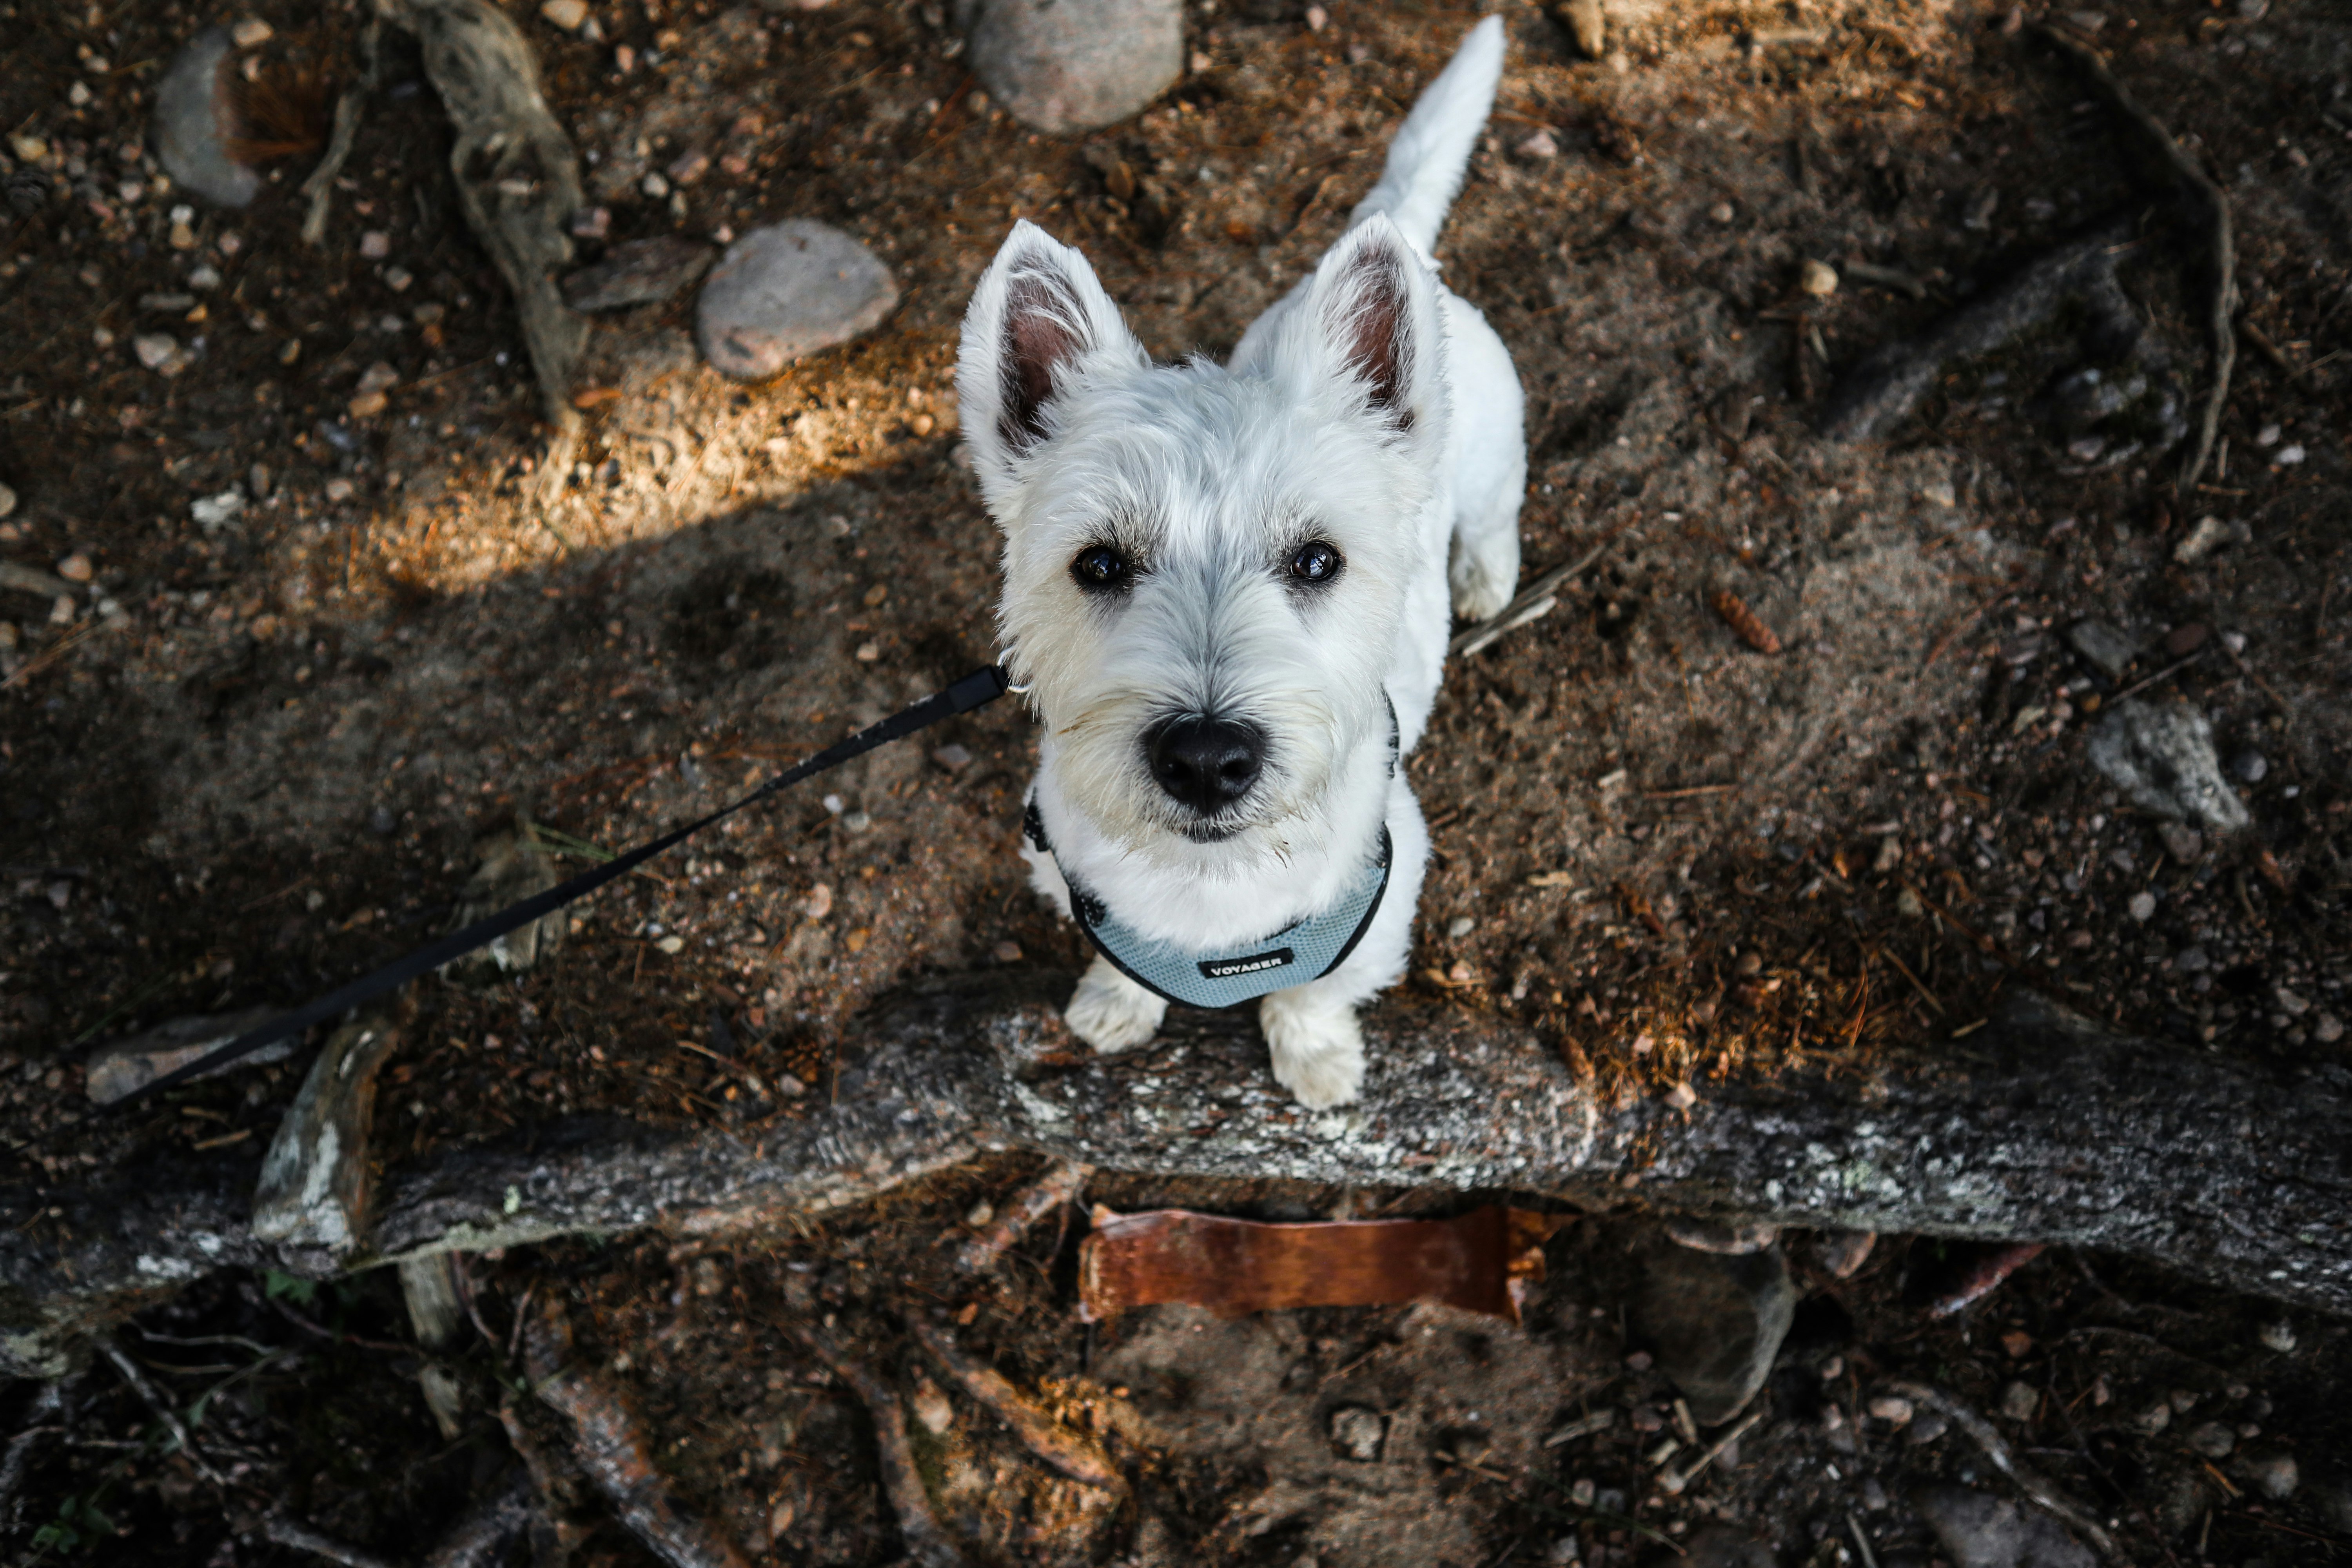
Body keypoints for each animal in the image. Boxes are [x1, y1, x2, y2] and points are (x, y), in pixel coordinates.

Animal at [955, 18, 1524, 1109]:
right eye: (1098, 564)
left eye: (1317, 559)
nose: (1206, 760)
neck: (1212, 890)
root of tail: (1404, 232)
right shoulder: (1072, 878)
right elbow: (1119, 961)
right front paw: (1116, 1007)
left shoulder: (1384, 898)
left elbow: (1313, 988)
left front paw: (1316, 1057)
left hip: (1490, 463)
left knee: (1495, 519)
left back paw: (1487, 580)